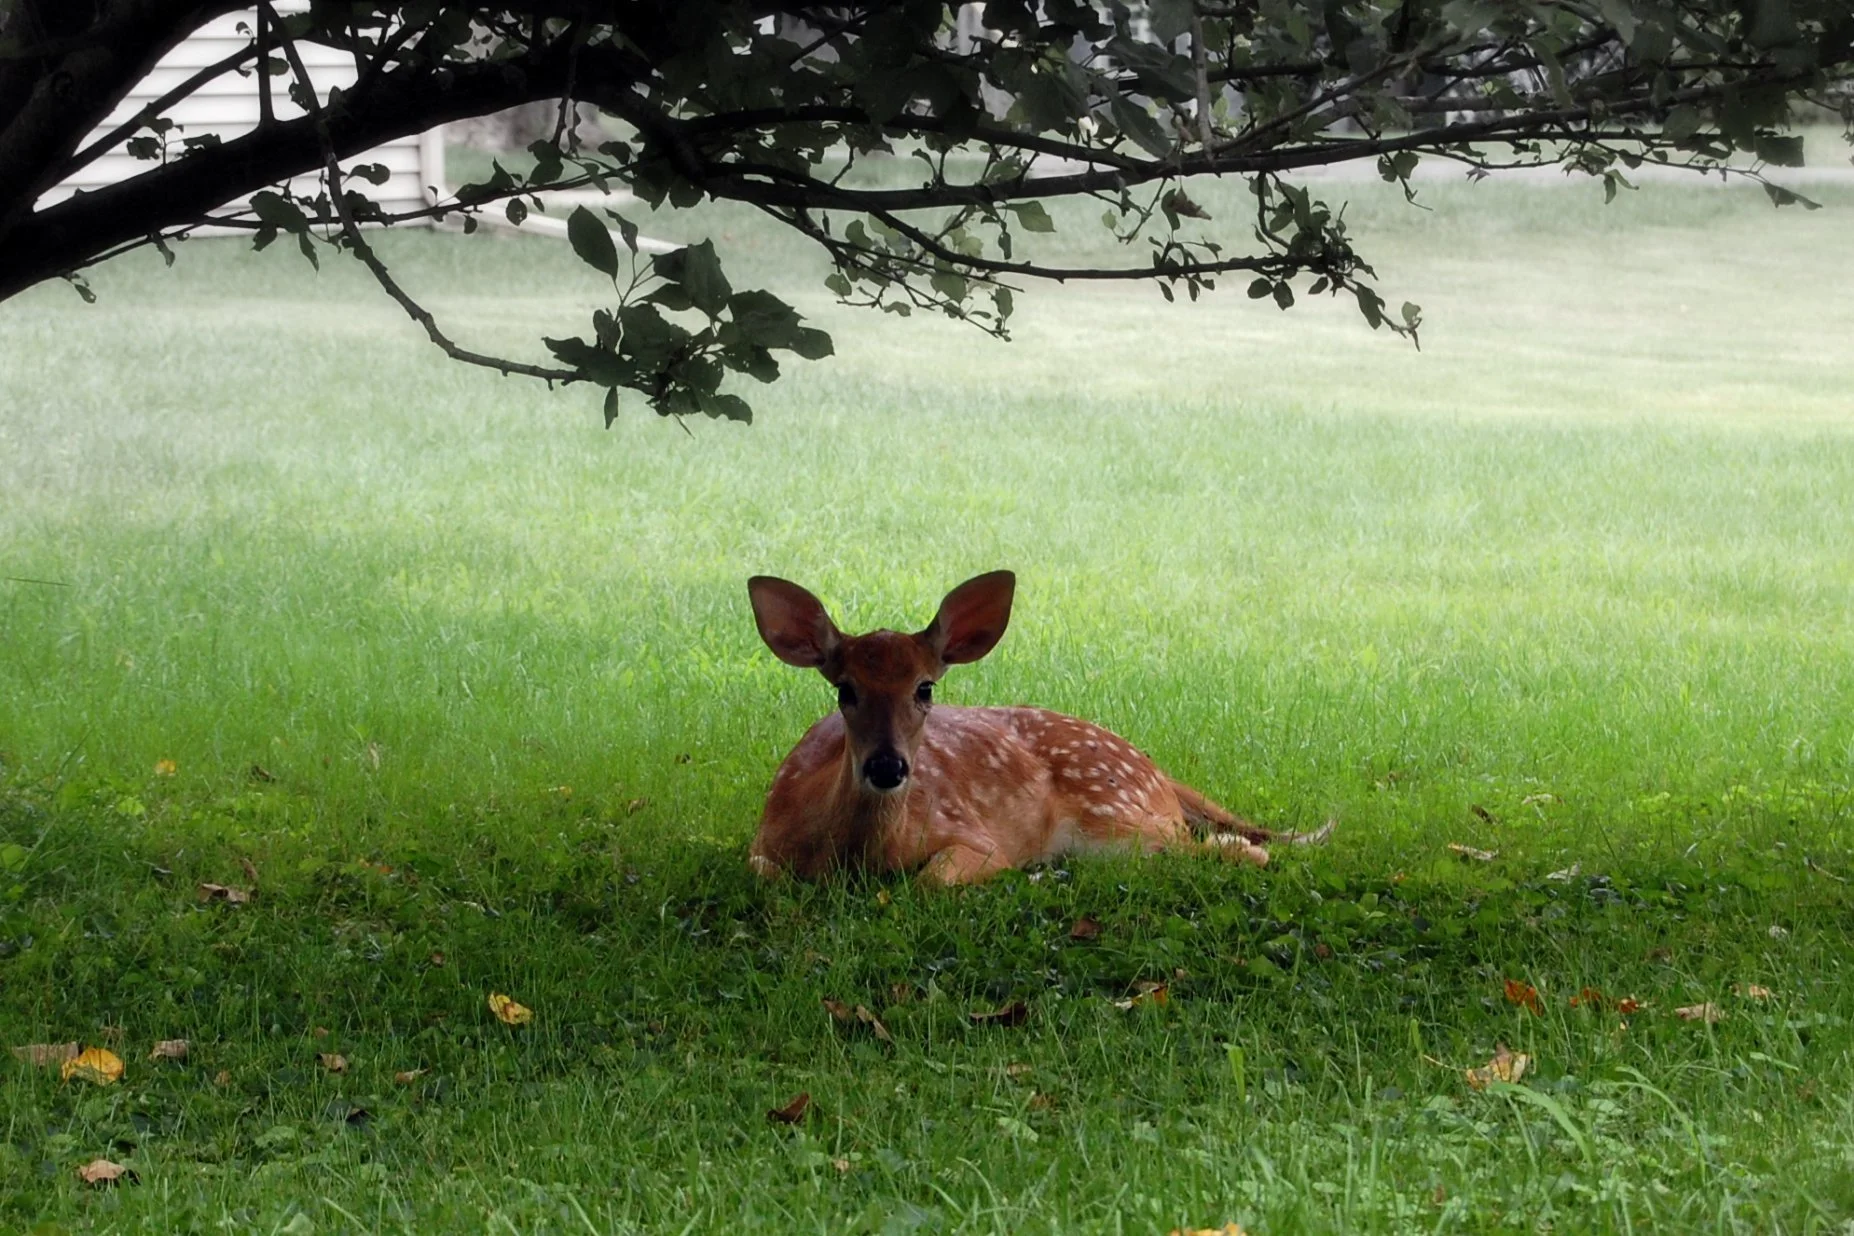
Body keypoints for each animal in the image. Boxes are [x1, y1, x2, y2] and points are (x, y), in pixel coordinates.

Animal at [746, 570, 1318, 884]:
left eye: (925, 688)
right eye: (844, 690)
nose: (887, 766)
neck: (855, 854)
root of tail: (1158, 772)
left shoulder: (974, 837)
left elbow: (933, 880)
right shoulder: (761, 844)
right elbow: (767, 874)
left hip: (1118, 819)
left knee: (1238, 849)